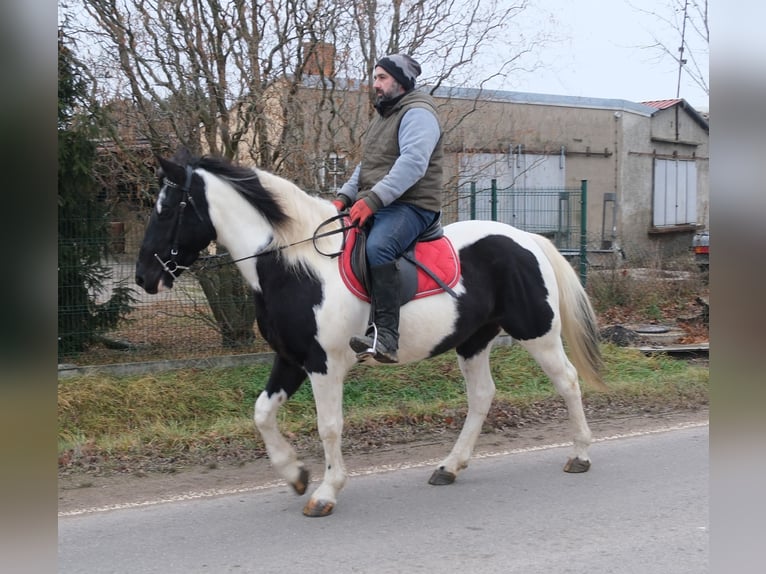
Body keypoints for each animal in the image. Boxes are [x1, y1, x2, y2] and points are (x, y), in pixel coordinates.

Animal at [135, 152, 607, 517]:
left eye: (166, 209)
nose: (144, 277)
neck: (297, 265)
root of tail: (525, 238)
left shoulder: (323, 365)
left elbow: (328, 426)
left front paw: (325, 492)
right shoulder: (290, 358)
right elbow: (262, 413)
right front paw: (295, 474)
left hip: (537, 333)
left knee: (567, 381)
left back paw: (581, 455)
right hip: (472, 342)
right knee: (481, 397)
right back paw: (449, 467)